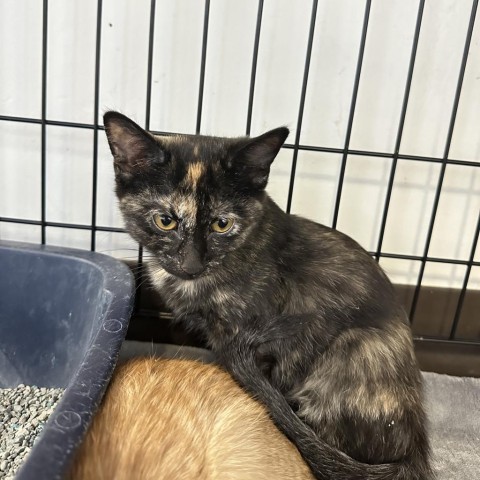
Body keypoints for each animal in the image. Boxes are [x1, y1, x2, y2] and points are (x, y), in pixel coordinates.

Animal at [104, 111, 432, 480]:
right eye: (165, 220)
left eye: (222, 224)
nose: (191, 264)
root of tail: (414, 448)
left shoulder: (265, 343)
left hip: (353, 349)